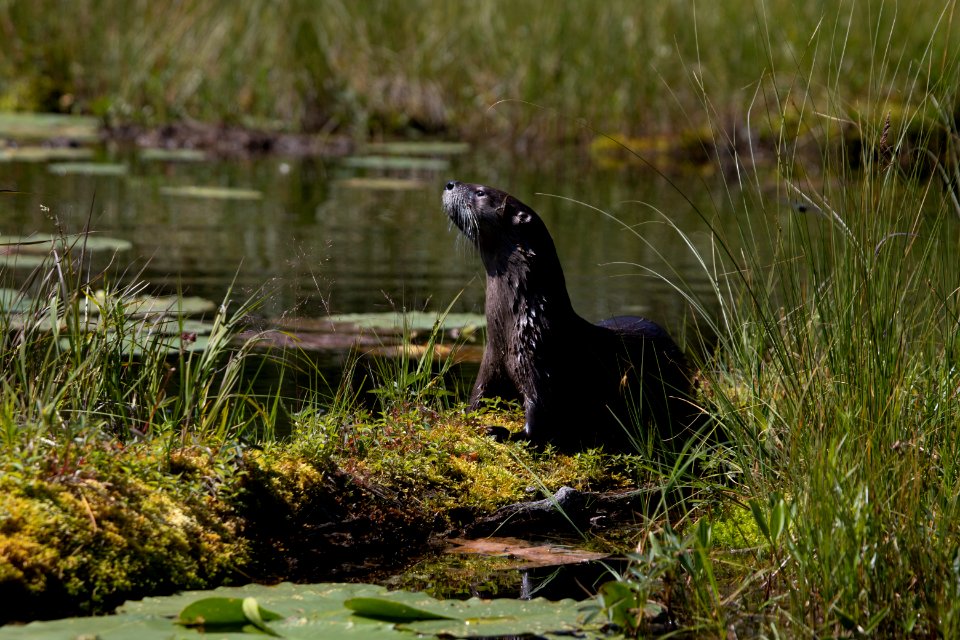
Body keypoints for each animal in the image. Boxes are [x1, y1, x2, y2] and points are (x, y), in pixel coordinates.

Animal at [438, 178, 692, 452]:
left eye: (481, 192)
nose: (450, 183)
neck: (523, 322)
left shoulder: (542, 365)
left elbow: (541, 423)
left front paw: (503, 432)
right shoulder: (492, 360)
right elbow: (478, 397)